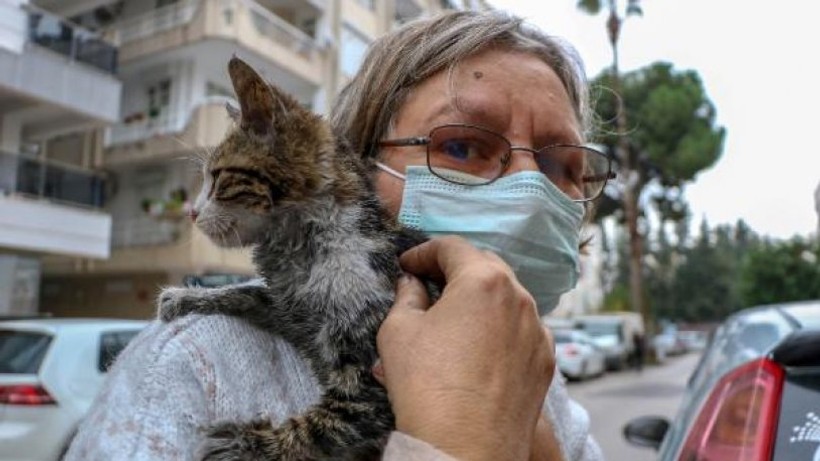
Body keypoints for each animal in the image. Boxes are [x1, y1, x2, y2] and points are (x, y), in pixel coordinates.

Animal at [161, 55, 430, 458]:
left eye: (219, 179)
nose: (192, 211)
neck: (305, 252)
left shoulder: (370, 381)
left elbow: (322, 427)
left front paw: (250, 443)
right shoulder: (290, 308)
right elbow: (248, 292)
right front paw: (188, 296)